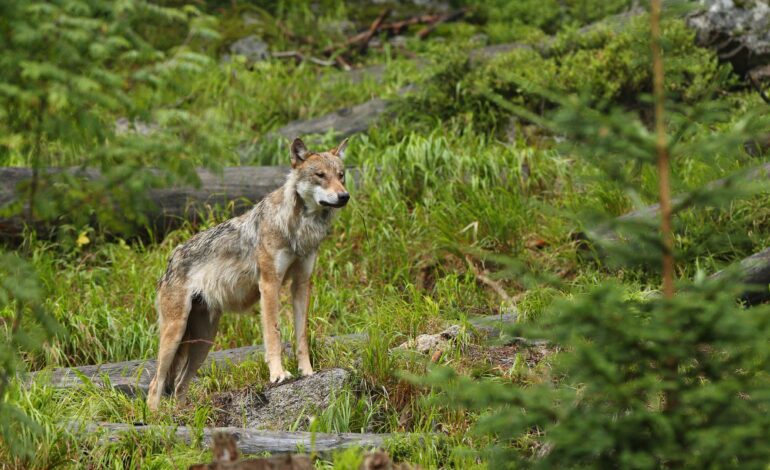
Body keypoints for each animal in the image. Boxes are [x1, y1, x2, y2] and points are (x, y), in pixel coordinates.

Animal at [146, 137, 350, 411]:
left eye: (341, 175)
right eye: (320, 175)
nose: (344, 196)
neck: (298, 228)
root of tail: (170, 259)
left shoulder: (301, 284)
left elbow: (301, 336)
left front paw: (307, 372)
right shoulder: (270, 284)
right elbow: (274, 334)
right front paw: (278, 375)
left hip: (203, 342)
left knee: (178, 385)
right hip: (175, 334)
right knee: (154, 384)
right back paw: (155, 418)